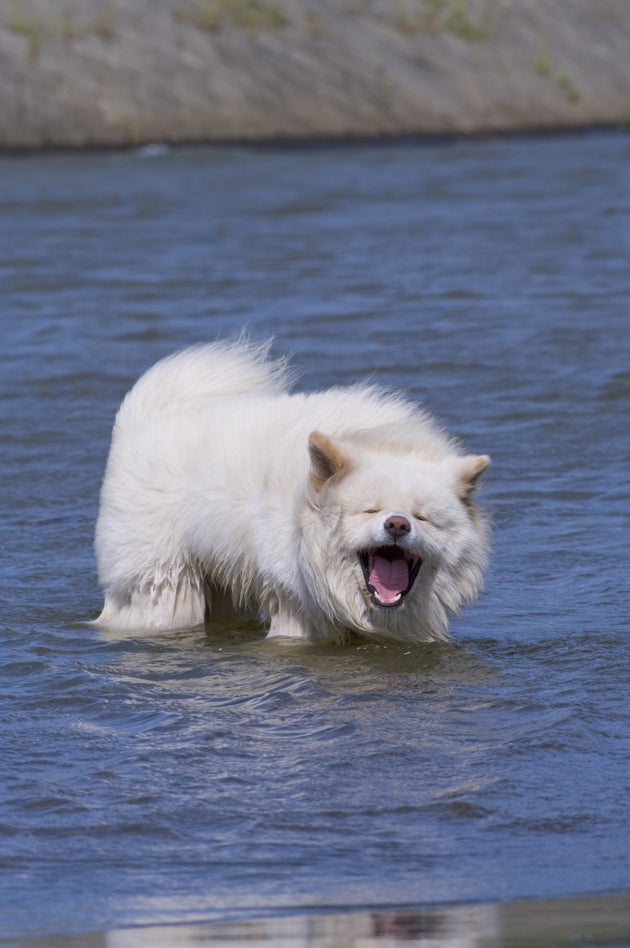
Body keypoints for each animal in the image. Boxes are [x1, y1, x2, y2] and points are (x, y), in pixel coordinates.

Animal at [94, 340, 492, 644]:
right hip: (163, 584)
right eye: (370, 510)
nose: (397, 525)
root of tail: (144, 419)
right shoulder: (296, 605)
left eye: (422, 517)